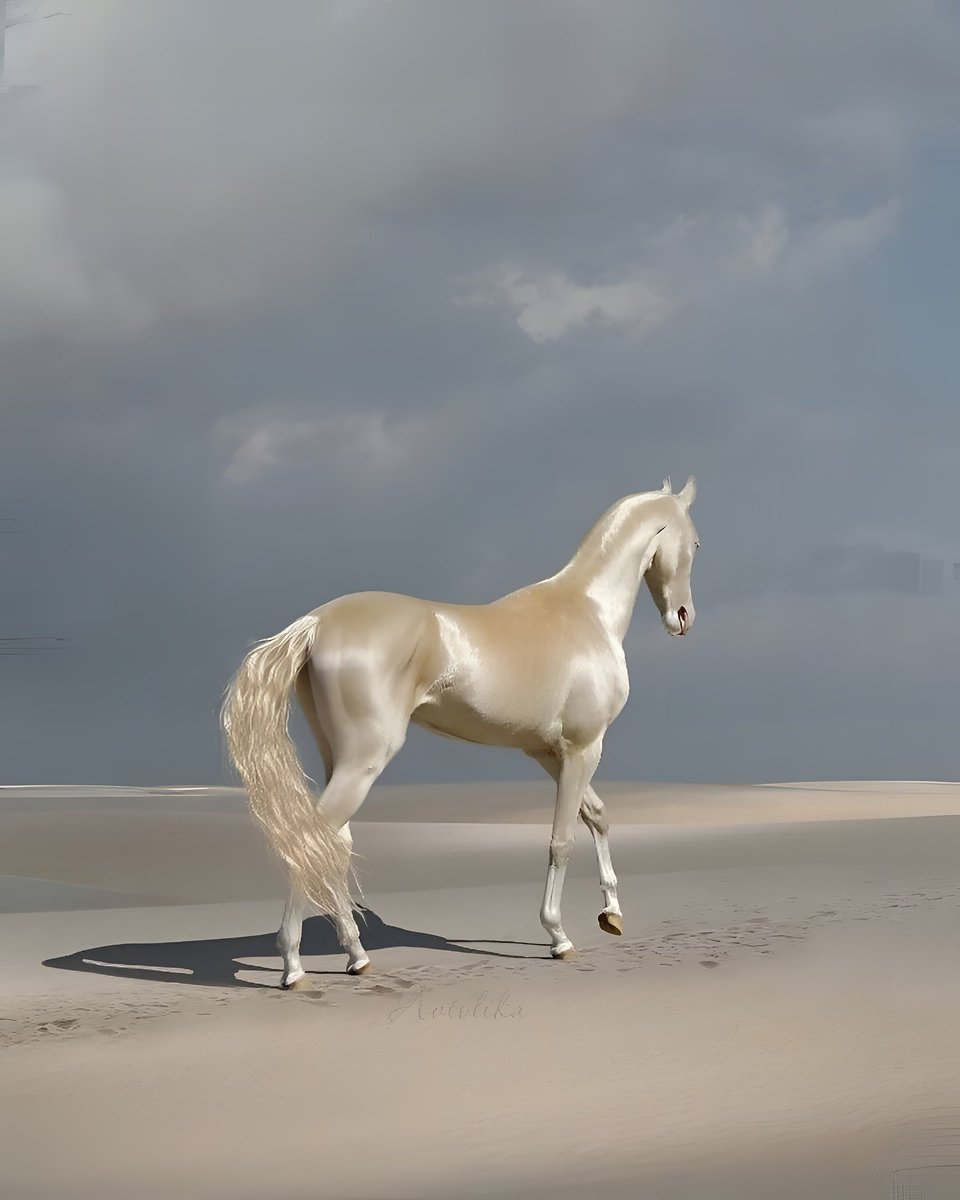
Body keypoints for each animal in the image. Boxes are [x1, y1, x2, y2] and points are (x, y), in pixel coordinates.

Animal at [221, 476, 699, 988]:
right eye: (695, 543)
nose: (683, 618)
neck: (585, 612)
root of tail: (317, 622)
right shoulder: (582, 748)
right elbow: (562, 839)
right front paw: (558, 936)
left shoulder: (548, 752)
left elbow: (598, 816)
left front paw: (612, 914)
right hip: (363, 761)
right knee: (311, 842)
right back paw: (293, 966)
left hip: (339, 760)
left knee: (333, 845)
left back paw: (356, 955)